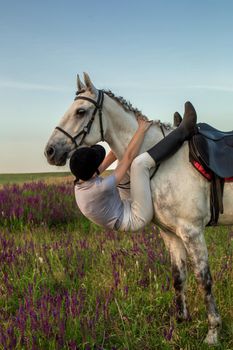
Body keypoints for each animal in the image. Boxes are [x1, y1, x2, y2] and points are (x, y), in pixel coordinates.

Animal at [44, 73, 233, 344]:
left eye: (80, 111)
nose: (50, 151)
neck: (164, 162)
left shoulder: (192, 231)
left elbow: (203, 279)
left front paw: (213, 332)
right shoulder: (171, 234)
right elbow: (179, 277)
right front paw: (180, 323)